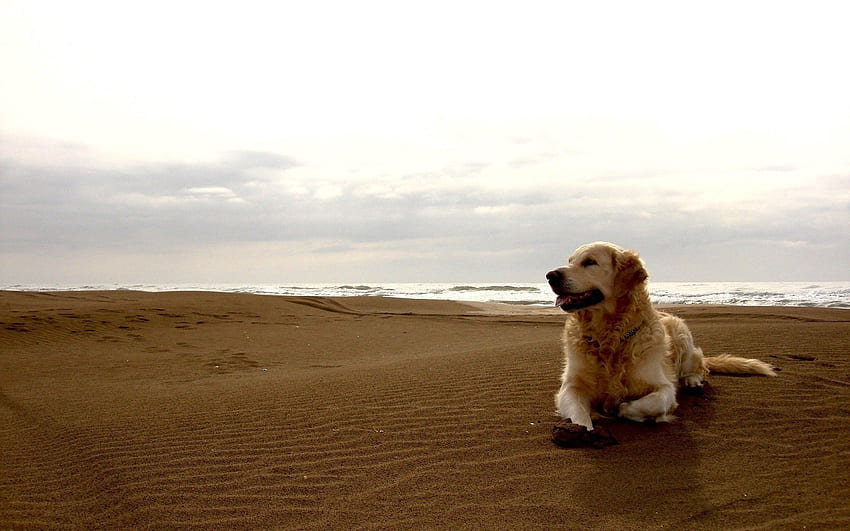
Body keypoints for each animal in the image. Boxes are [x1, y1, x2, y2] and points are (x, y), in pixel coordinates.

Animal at [544, 242, 776, 432]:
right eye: (570, 261)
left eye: (590, 262)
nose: (550, 275)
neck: (610, 337)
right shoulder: (571, 387)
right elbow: (578, 413)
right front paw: (583, 430)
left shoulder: (663, 386)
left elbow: (650, 402)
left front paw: (621, 408)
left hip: (683, 335)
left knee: (699, 366)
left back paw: (692, 380)